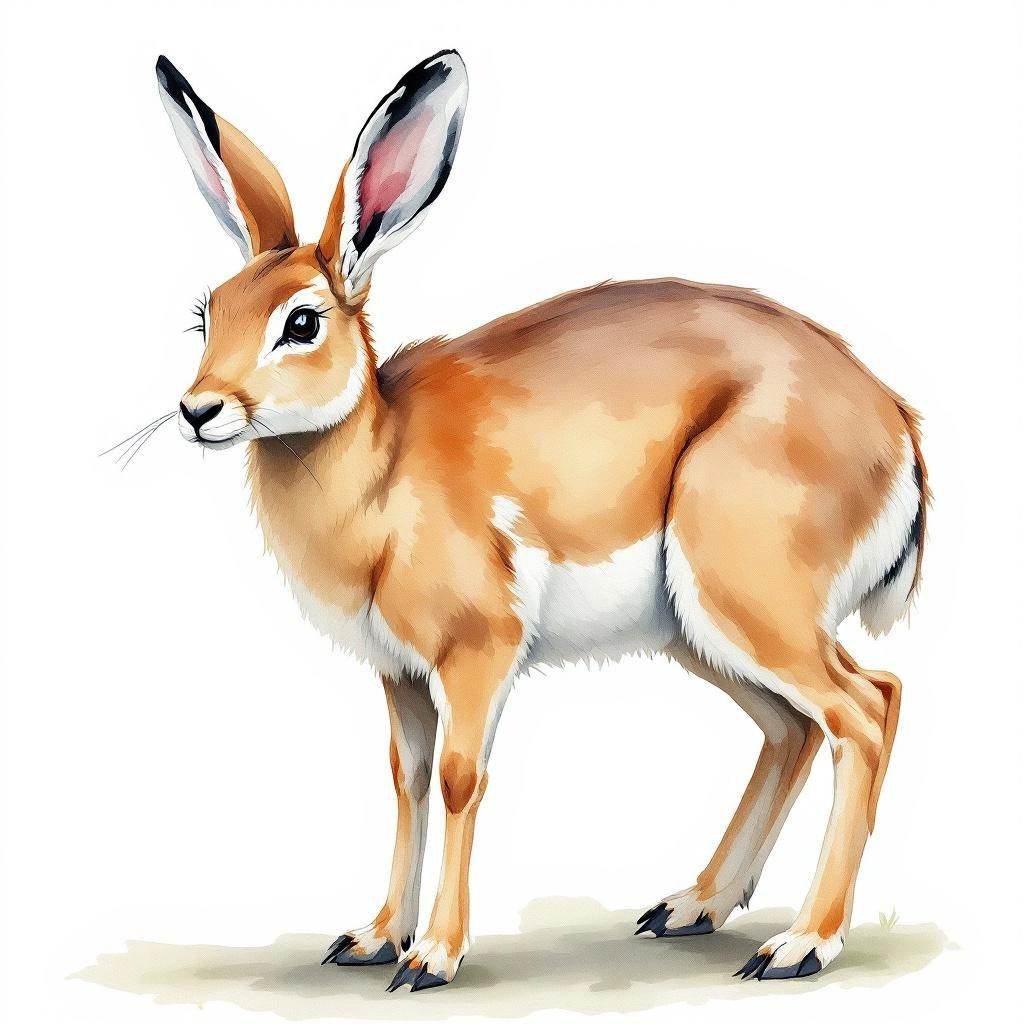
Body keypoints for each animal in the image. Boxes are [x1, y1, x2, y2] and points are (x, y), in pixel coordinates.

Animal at [155, 49, 926, 991]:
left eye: (301, 321)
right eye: (207, 314)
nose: (199, 409)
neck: (380, 467)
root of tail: (893, 422)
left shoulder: (477, 654)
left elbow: (459, 778)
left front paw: (432, 958)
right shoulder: (399, 672)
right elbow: (406, 777)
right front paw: (373, 938)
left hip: (747, 607)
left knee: (868, 706)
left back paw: (800, 946)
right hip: (699, 632)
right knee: (794, 728)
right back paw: (692, 908)